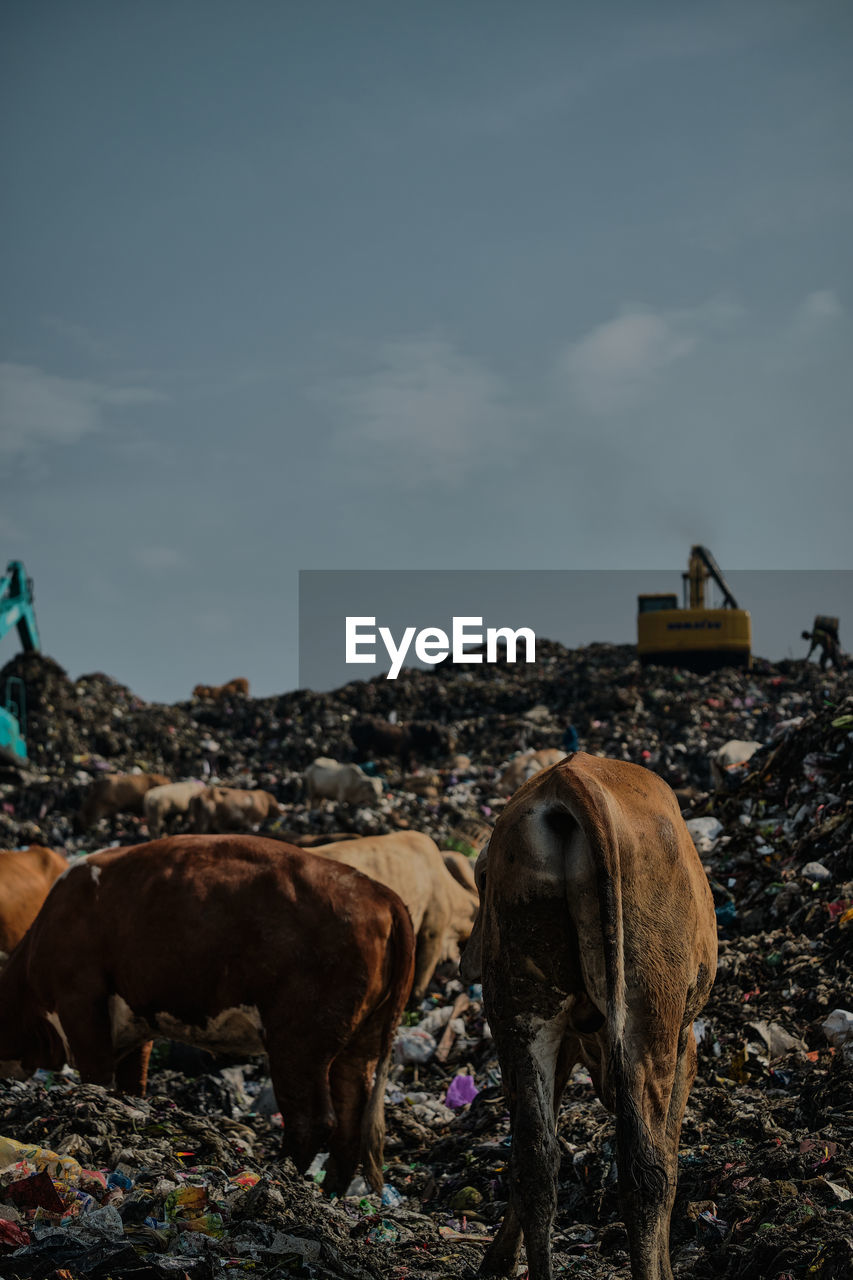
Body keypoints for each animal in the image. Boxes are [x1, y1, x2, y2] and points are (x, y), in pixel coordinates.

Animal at [0, 834, 414, 1192]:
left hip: (299, 1039)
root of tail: (380, 893)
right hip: (361, 1042)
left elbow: (98, 1081)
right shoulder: (136, 1021)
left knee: (312, 1121)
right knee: (350, 1117)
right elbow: (131, 1086)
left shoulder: (81, 1005)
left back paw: (278, 1175)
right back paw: (330, 1191)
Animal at [461, 747, 712, 1280]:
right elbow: (671, 1155)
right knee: (647, 1173)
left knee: (535, 1162)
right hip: (649, 1017)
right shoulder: (686, 1045)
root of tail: (573, 777)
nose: (464, 960)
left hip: (522, 1010)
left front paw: (497, 1259)